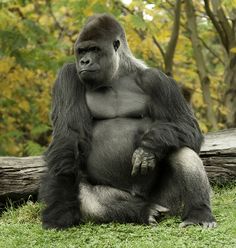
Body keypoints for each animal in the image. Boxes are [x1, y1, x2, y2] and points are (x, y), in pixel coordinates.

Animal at [38, 13, 216, 230]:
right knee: (89, 199)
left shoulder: (158, 80)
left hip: (170, 203)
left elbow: (188, 126)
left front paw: (149, 146)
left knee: (181, 148)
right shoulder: (68, 75)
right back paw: (143, 210)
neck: (118, 73)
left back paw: (199, 213)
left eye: (94, 49)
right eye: (81, 51)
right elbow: (68, 136)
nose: (84, 61)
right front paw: (61, 208)